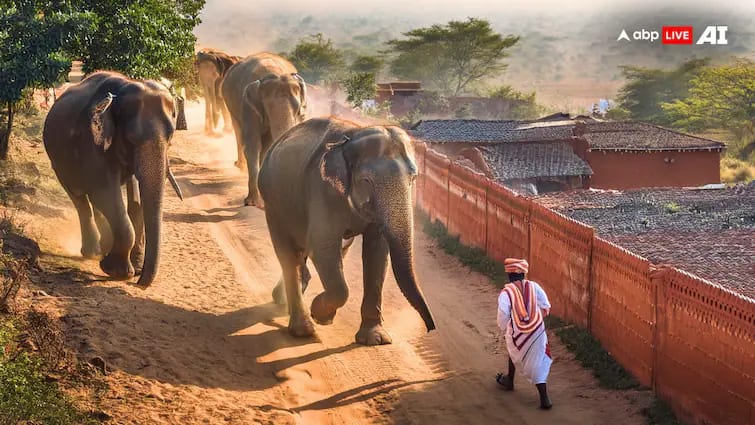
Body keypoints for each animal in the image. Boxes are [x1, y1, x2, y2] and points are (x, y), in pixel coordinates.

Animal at [43, 71, 183, 287]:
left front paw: (133, 268)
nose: (139, 283)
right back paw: (94, 252)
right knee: (81, 198)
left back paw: (104, 247)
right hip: (57, 161)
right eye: (132, 138)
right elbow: (105, 192)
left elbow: (136, 199)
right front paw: (119, 272)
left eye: (170, 138)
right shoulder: (91, 140)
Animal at [221, 52, 307, 207]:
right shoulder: (248, 106)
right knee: (238, 131)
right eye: (268, 108)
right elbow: (253, 145)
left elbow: (267, 146)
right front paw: (253, 203)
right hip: (230, 104)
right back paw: (240, 166)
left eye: (298, 110)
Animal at [258, 117, 436, 345]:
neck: (351, 137)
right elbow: (323, 248)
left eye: (413, 179)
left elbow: (377, 253)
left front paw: (375, 339)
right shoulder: (322, 190)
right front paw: (320, 314)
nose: (431, 328)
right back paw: (302, 329)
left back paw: (284, 299)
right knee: (288, 254)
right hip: (272, 203)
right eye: (367, 181)